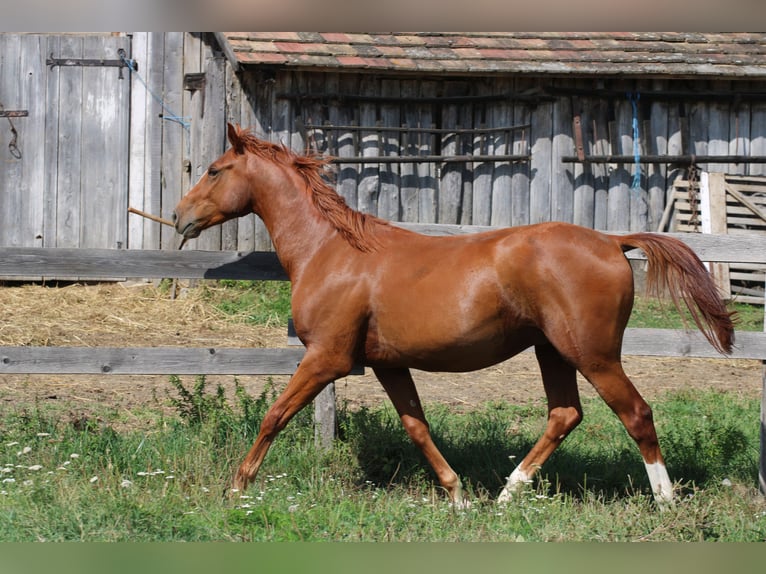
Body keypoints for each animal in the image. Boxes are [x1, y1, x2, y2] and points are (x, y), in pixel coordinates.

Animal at [173, 123, 734, 508]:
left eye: (215, 170)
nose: (180, 217)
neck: (330, 251)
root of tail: (613, 240)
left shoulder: (326, 358)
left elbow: (274, 415)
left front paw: (236, 488)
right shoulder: (388, 363)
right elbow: (416, 426)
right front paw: (458, 496)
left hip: (593, 354)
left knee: (636, 413)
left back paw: (664, 502)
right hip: (552, 351)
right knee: (565, 414)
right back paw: (506, 496)